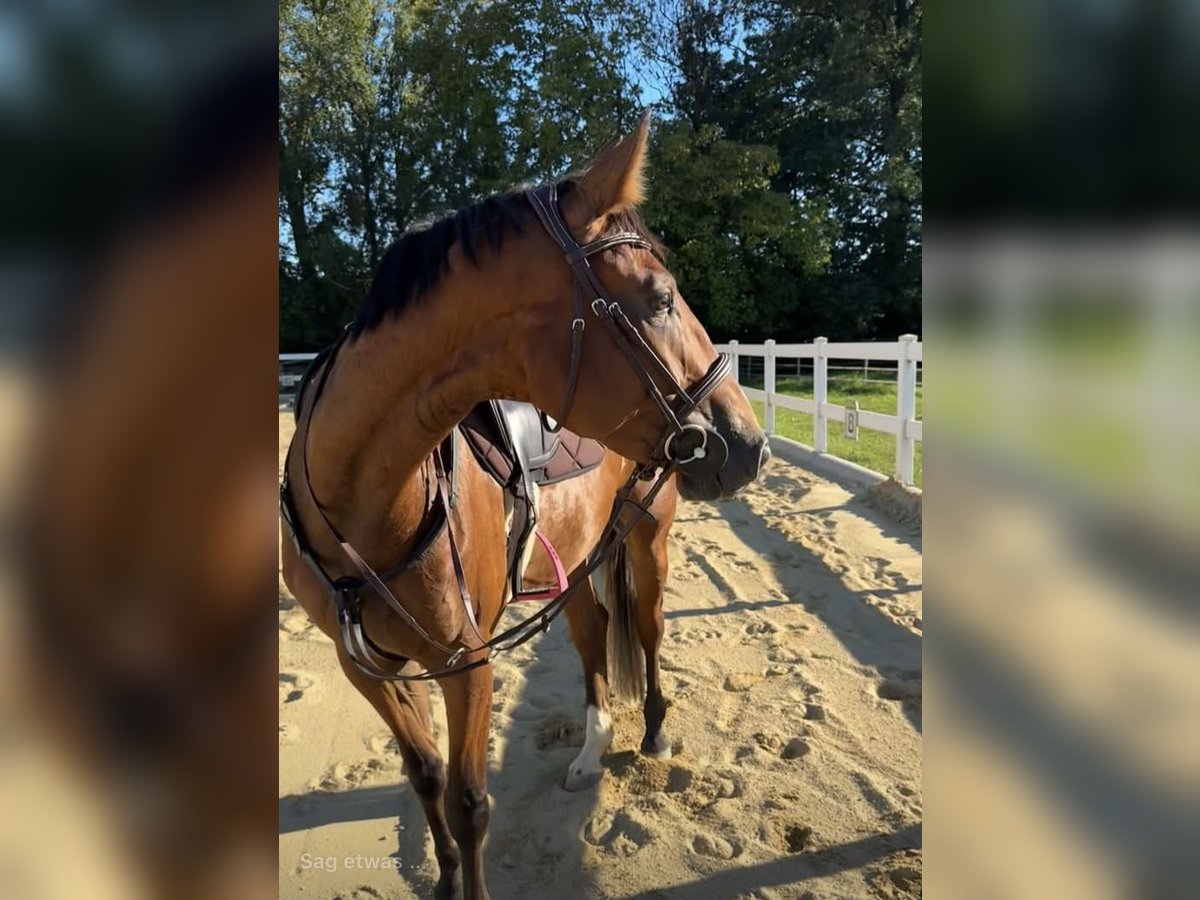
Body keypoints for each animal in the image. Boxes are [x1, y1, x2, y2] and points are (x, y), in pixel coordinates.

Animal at [280, 112, 769, 900]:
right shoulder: (366, 666)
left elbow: (469, 803)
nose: (750, 443)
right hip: (572, 560)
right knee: (594, 633)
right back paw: (589, 753)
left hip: (648, 543)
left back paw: (655, 733)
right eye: (661, 299)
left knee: (649, 634)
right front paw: (446, 880)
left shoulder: (466, 665)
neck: (363, 500)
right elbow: (425, 777)